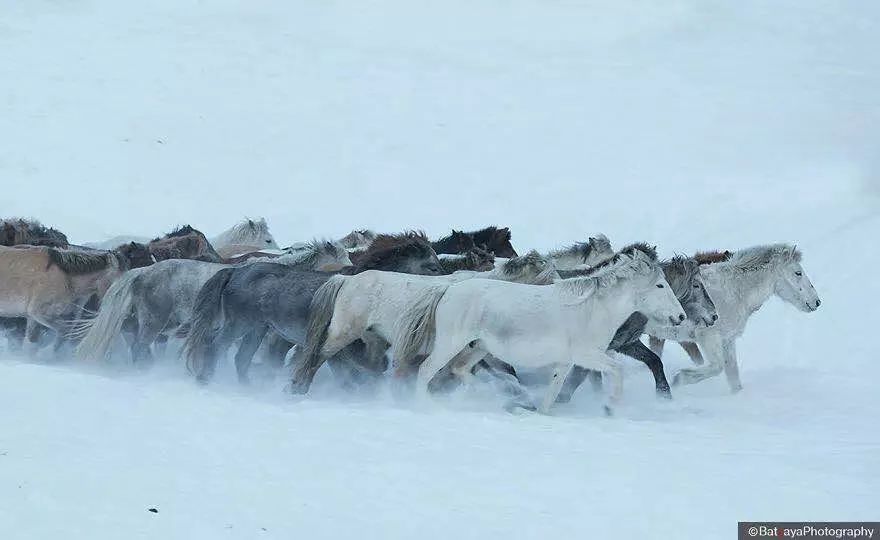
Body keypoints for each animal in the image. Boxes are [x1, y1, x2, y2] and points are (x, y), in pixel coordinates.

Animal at [0, 246, 131, 354]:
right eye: (120, 284)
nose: (126, 313)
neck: (68, 279)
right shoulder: (38, 313)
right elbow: (64, 331)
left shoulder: (33, 318)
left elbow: (31, 342)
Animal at [184, 231, 446, 384]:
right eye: (432, 266)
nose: (449, 284)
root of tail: (234, 273)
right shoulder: (340, 351)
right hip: (239, 325)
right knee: (215, 347)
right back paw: (207, 379)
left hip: (256, 330)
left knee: (241, 359)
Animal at [292, 249, 560, 392]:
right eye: (547, 275)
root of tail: (346, 280)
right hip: (343, 332)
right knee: (318, 356)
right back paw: (297, 387)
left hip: (374, 340)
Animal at [392, 247, 688, 416]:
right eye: (660, 285)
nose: (681, 316)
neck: (593, 308)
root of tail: (449, 289)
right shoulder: (586, 355)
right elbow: (617, 370)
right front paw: (609, 406)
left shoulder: (566, 362)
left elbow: (554, 392)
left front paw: (540, 412)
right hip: (451, 343)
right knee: (427, 370)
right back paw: (426, 406)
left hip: (479, 348)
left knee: (460, 369)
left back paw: (495, 394)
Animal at [648, 245, 824, 392]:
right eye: (798, 273)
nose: (816, 302)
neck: (733, 291)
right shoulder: (707, 336)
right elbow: (717, 367)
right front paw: (679, 379)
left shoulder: (727, 341)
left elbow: (733, 377)